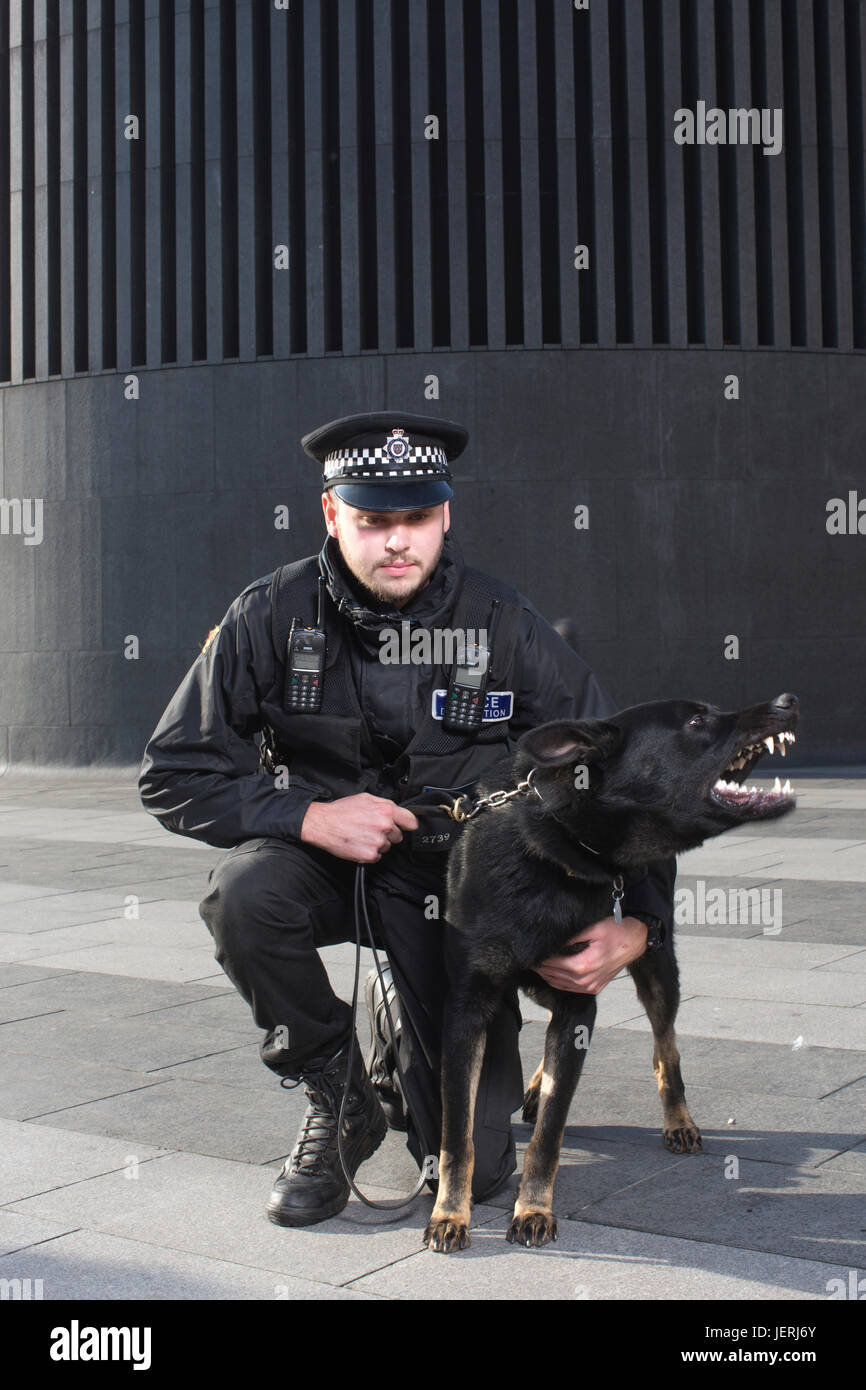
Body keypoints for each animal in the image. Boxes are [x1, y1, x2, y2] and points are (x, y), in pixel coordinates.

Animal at [428, 692, 800, 1251]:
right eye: (698, 720)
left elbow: (550, 1134)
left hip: (656, 969)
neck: (561, 844)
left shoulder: (579, 996)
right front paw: (450, 1214)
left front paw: (532, 1208)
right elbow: (457, 1134)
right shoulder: (466, 1008)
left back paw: (677, 1120)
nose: (788, 701)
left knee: (666, 1049)